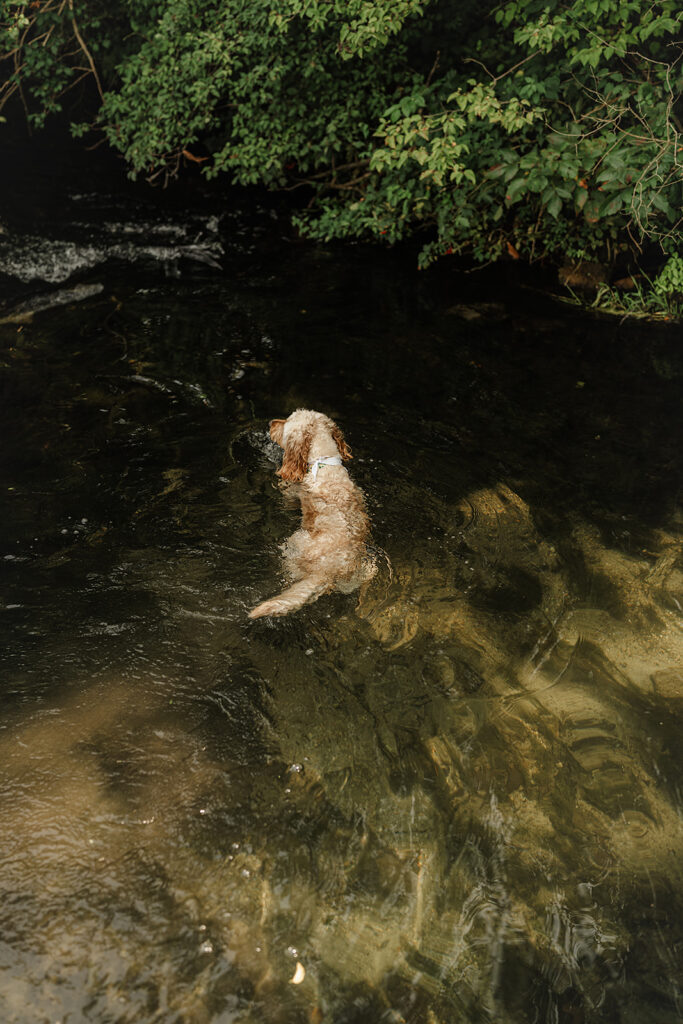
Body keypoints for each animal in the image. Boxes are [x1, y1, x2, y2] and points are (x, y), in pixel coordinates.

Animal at [248, 407, 376, 614]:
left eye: (287, 422)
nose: (271, 423)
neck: (323, 462)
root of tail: (327, 571)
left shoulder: (292, 490)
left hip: (293, 543)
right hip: (367, 570)